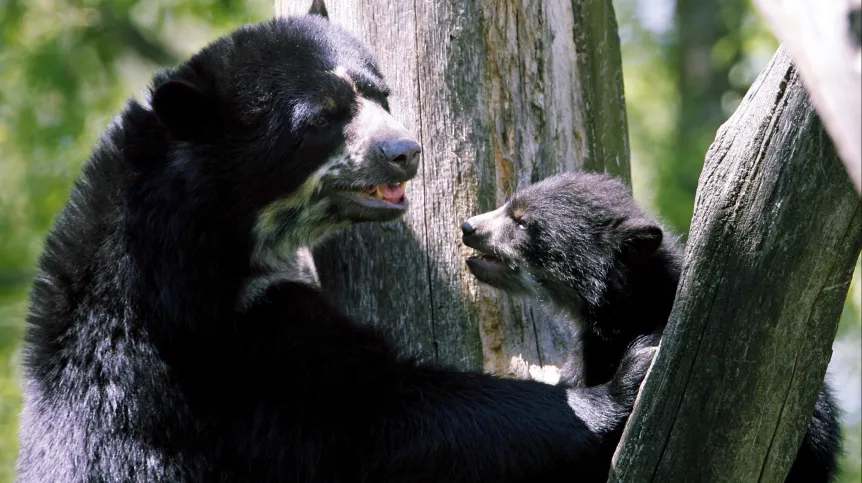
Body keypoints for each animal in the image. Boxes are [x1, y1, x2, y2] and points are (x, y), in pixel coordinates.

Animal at [15, 3, 656, 483]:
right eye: (321, 118)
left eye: (380, 93)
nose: (404, 152)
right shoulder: (223, 358)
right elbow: (381, 416)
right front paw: (620, 384)